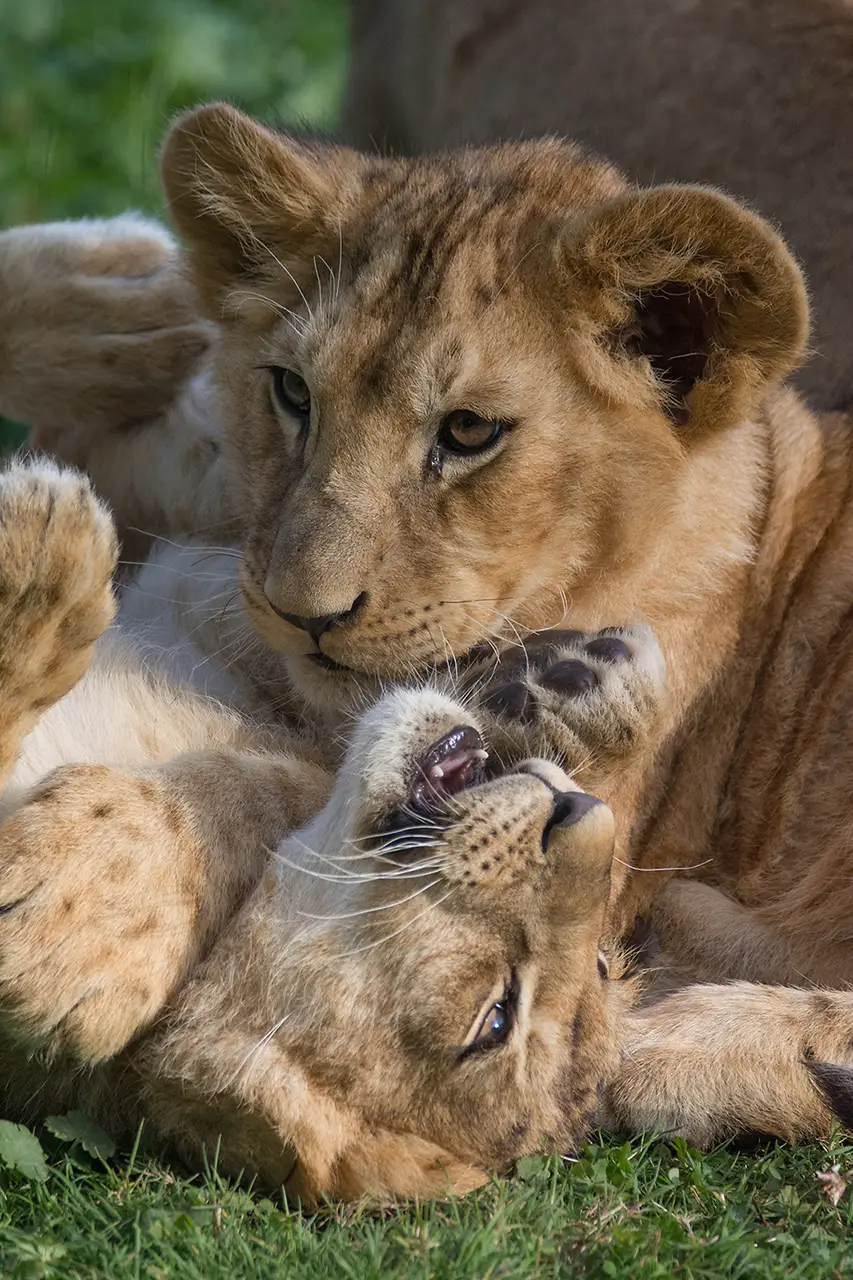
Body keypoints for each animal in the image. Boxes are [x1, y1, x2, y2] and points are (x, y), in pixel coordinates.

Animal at [4, 102, 853, 1195]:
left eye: (469, 430)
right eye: (292, 392)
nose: (302, 610)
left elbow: (264, 792)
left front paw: (84, 904)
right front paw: (131, 302)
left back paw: (682, 1042)